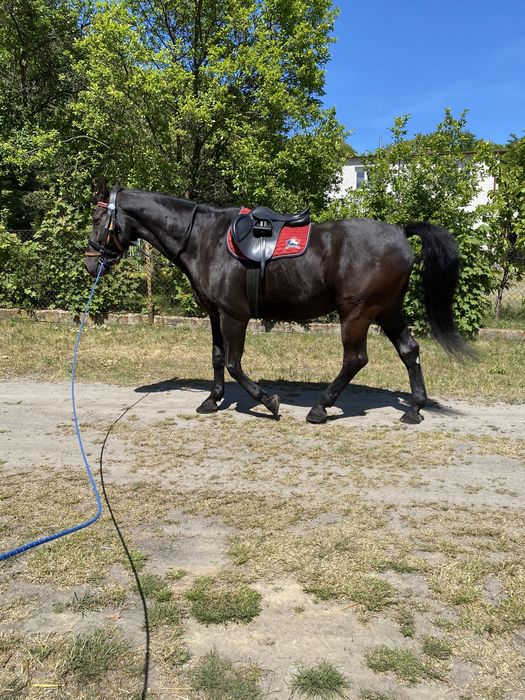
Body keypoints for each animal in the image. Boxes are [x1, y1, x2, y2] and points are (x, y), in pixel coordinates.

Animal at [84, 185, 468, 422]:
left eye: (97, 219)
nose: (90, 263)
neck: (205, 239)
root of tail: (400, 233)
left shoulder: (234, 315)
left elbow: (235, 364)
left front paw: (268, 401)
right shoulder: (215, 315)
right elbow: (218, 358)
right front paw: (212, 399)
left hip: (358, 313)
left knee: (355, 359)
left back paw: (321, 408)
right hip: (387, 310)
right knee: (409, 350)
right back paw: (414, 408)